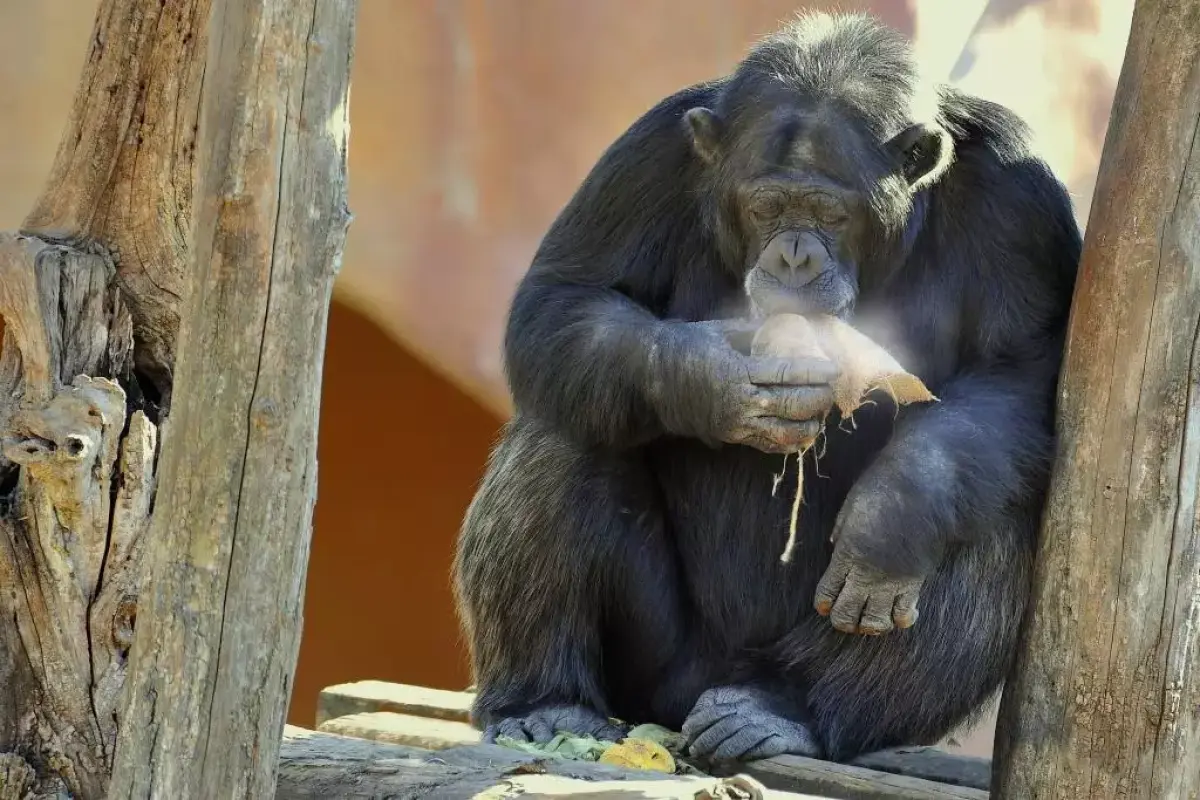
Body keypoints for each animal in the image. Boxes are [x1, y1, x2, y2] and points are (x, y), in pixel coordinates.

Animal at [451, 10, 1080, 762]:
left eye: (828, 212)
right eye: (765, 208)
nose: (794, 256)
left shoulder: (1020, 200)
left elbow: (1021, 368)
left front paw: (891, 518)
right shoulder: (648, 154)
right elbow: (567, 295)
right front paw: (714, 382)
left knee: (994, 513)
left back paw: (781, 706)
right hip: (654, 671)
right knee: (566, 423)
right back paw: (545, 702)